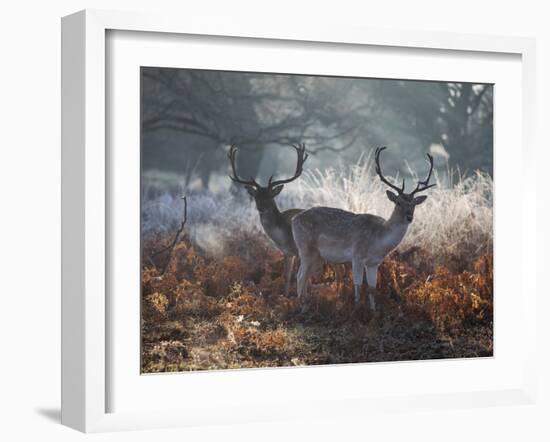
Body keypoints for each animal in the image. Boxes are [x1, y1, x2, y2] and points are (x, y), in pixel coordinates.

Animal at [229, 144, 310, 296]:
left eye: (269, 196)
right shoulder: (287, 252)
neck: (284, 235)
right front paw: (285, 296)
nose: (261, 207)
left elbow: (301, 277)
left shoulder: (299, 251)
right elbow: (287, 276)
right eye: (256, 196)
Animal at [292, 147, 438, 310]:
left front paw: (373, 310)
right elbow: (358, 285)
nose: (409, 217)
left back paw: (306, 302)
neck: (378, 242)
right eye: (398, 202)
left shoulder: (374, 263)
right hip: (305, 248)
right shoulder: (356, 256)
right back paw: (302, 306)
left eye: (413, 204)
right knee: (300, 276)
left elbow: (372, 288)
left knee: (305, 277)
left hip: (315, 254)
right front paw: (356, 308)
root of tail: (294, 219)